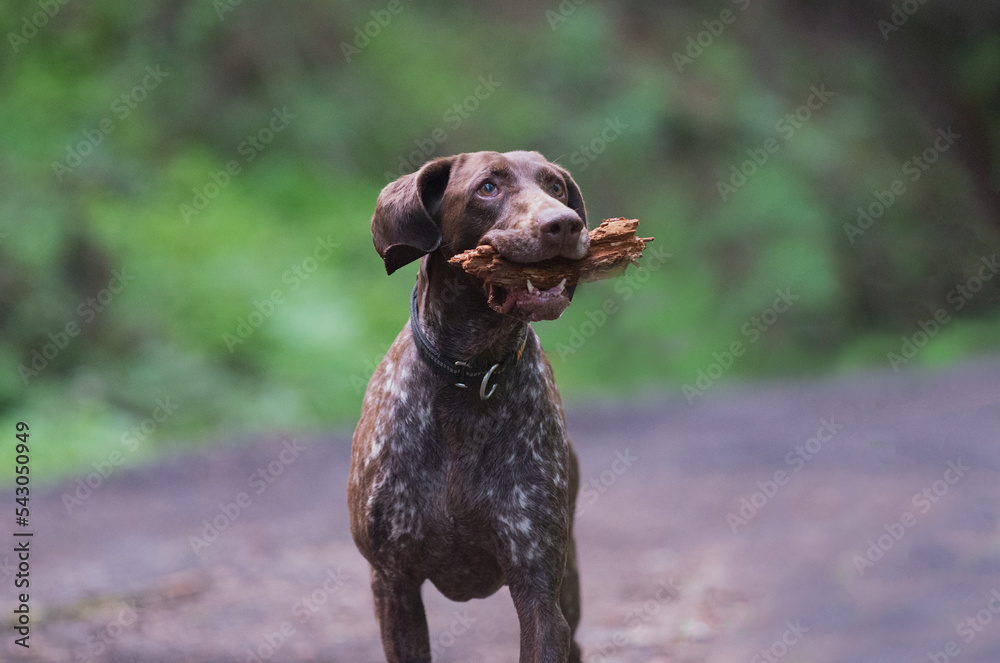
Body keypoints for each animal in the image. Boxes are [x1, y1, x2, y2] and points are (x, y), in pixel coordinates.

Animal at [350, 152, 584, 663]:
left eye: (555, 187)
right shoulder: (393, 585)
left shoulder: (538, 589)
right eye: (488, 187)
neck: (471, 372)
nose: (565, 224)